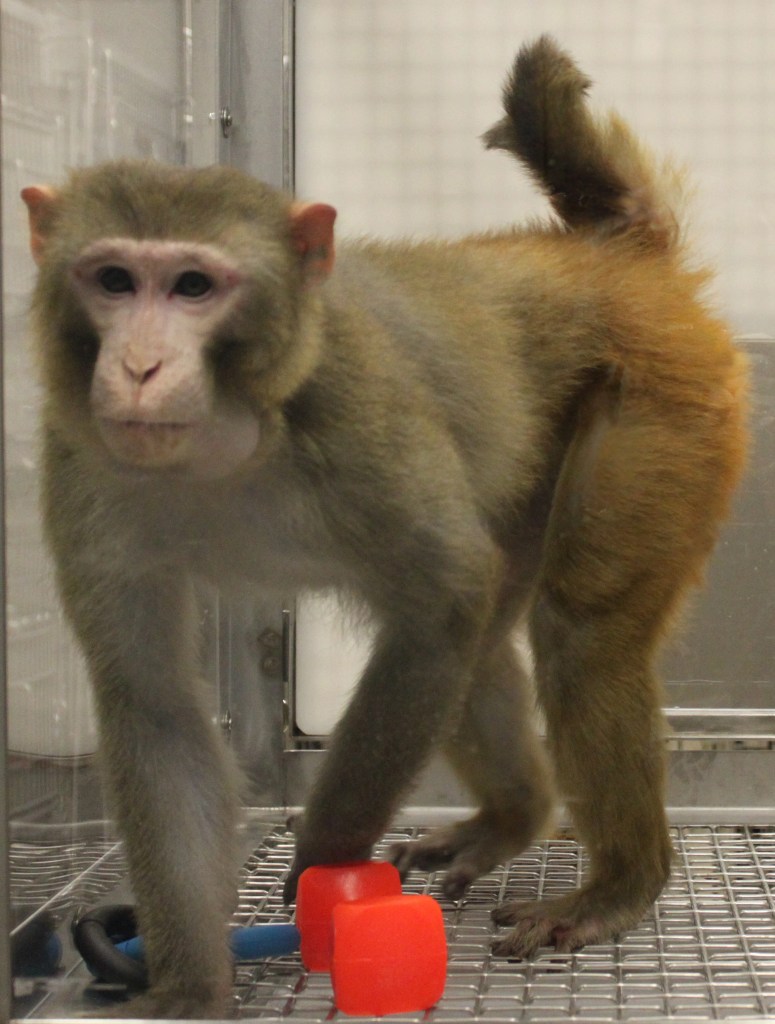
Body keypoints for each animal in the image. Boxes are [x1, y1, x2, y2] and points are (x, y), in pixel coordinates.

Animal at [21, 35, 746, 1019]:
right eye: (111, 280)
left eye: (193, 286)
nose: (137, 368)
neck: (225, 441)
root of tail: (611, 254)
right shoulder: (81, 463)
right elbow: (157, 708)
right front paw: (191, 985)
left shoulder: (356, 406)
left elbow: (442, 600)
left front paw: (321, 871)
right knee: (486, 625)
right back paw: (513, 820)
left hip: (666, 397)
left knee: (570, 629)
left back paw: (619, 886)